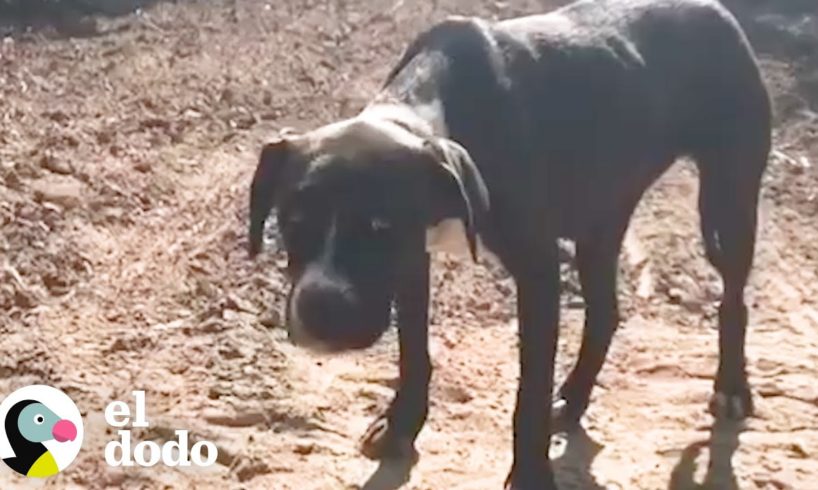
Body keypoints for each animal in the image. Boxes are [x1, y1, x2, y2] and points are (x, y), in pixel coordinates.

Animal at [245, 0, 768, 486]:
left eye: (381, 226)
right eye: (291, 222)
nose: (322, 309)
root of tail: (715, 11)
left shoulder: (535, 272)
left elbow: (529, 391)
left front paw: (532, 473)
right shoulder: (414, 261)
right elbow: (414, 353)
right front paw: (401, 426)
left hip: (727, 203)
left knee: (733, 299)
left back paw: (732, 387)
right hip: (601, 217)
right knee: (605, 312)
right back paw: (573, 399)